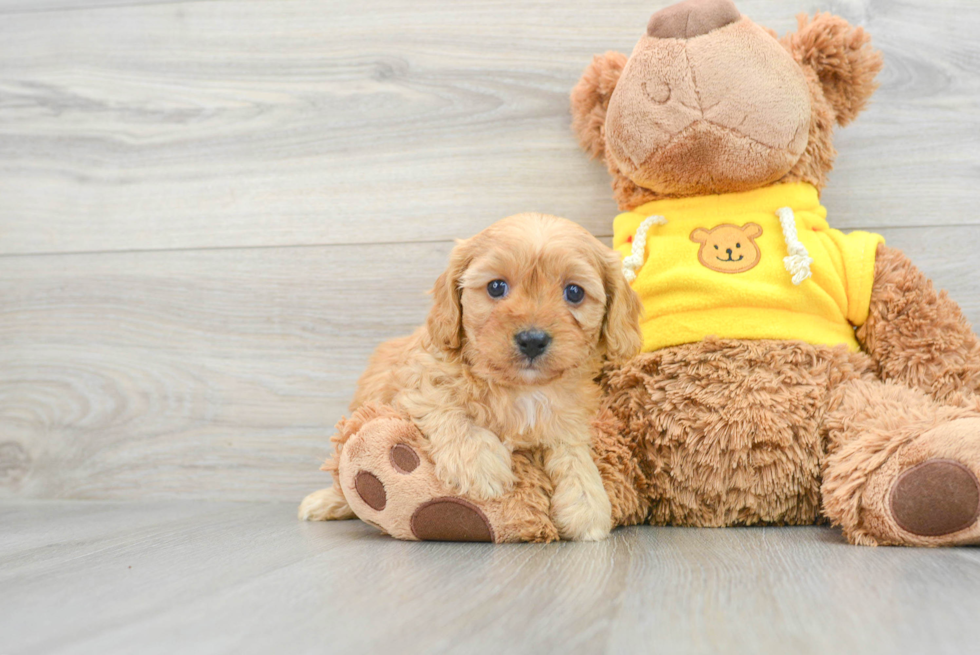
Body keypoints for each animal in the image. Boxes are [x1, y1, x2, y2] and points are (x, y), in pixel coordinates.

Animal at [302, 213, 648, 540]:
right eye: (496, 287)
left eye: (574, 292)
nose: (532, 340)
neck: (522, 388)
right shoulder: (419, 385)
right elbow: (451, 412)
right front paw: (481, 468)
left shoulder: (567, 418)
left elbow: (574, 454)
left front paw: (589, 504)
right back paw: (325, 502)